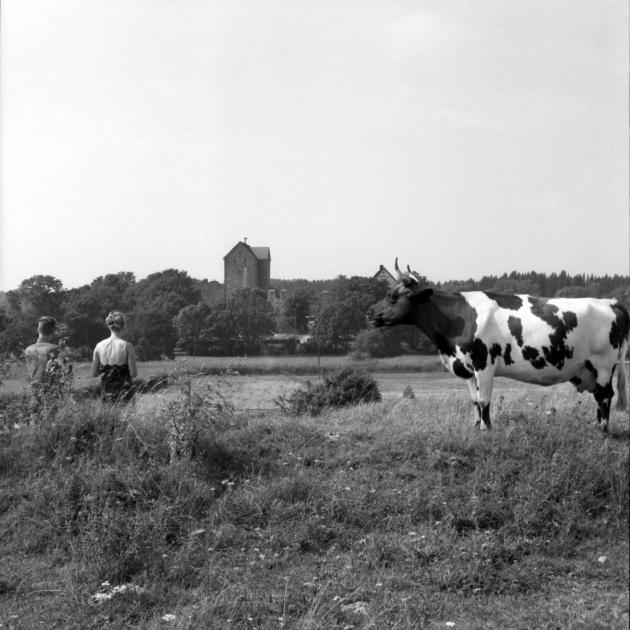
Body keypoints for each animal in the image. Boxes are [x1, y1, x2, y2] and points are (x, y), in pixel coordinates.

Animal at [368, 260, 630, 432]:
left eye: (392, 296)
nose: (369, 313)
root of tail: (611, 302)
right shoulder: (468, 369)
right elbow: (475, 401)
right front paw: (476, 427)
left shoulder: (484, 364)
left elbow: (484, 400)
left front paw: (486, 429)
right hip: (590, 368)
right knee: (600, 395)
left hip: (603, 364)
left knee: (605, 395)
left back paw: (602, 430)